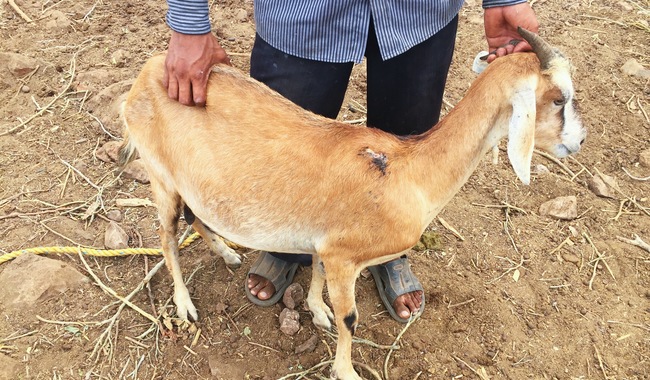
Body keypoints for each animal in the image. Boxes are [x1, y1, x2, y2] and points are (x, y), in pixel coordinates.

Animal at [119, 28, 584, 378]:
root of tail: (147, 72)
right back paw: (185, 305)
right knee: (166, 236)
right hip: (160, 175)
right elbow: (350, 318)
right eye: (559, 98)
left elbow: (317, 273)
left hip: (189, 182)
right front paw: (346, 369)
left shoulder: (327, 245)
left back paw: (228, 254)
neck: (408, 170)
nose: (579, 142)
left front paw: (316, 311)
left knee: (197, 216)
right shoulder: (344, 255)